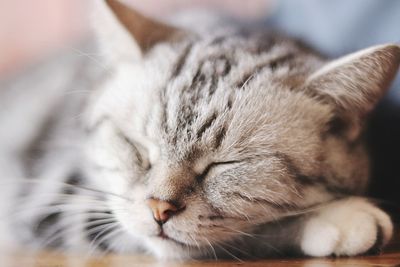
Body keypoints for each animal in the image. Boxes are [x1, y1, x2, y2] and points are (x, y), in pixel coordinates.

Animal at [0, 0, 400, 260]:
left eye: (224, 166)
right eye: (139, 148)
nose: (159, 209)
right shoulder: (49, 197)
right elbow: (249, 235)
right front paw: (336, 217)